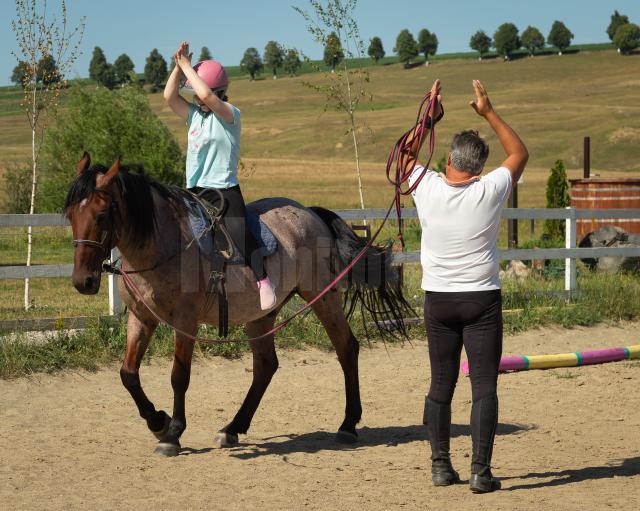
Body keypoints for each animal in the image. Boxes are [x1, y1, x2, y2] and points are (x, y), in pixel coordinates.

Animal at [67, 154, 412, 458]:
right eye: (70, 215)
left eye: (101, 215)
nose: (83, 281)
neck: (164, 245)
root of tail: (310, 214)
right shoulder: (141, 318)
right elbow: (128, 374)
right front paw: (158, 421)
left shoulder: (185, 321)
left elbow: (179, 376)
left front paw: (173, 432)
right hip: (261, 315)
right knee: (266, 365)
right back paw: (233, 427)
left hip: (323, 297)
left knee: (346, 348)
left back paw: (348, 424)